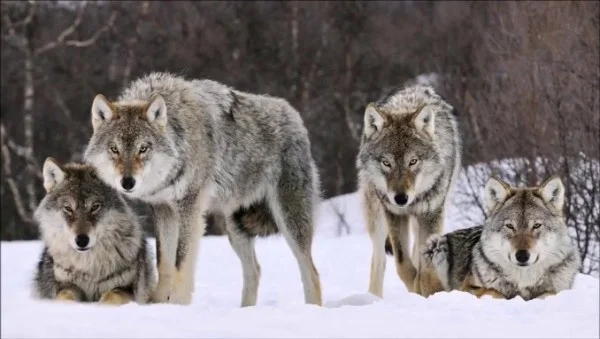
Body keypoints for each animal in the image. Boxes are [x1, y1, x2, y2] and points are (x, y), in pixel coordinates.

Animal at [33, 159, 156, 306]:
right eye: (68, 208)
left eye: (95, 207)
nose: (81, 240)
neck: (89, 266)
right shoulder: (66, 286)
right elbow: (65, 297)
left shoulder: (127, 289)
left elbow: (111, 296)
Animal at [84, 72, 324, 308]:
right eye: (114, 149)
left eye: (143, 148)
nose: (127, 182)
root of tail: (294, 115)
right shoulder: (163, 209)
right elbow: (164, 262)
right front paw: (159, 304)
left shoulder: (189, 208)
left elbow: (181, 262)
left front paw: (178, 305)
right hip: (235, 229)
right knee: (254, 271)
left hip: (289, 221)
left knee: (311, 272)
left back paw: (311, 309)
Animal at [356, 85, 464, 298]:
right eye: (386, 163)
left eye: (413, 161)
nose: (400, 198)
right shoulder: (395, 214)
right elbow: (402, 264)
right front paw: (415, 287)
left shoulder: (431, 214)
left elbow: (423, 266)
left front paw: (424, 290)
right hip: (378, 218)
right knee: (379, 260)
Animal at [422, 175, 580, 300]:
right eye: (510, 226)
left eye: (536, 226)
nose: (522, 256)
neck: (523, 280)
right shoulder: (466, 288)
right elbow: (493, 291)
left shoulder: (558, 290)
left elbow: (549, 293)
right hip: (436, 245)